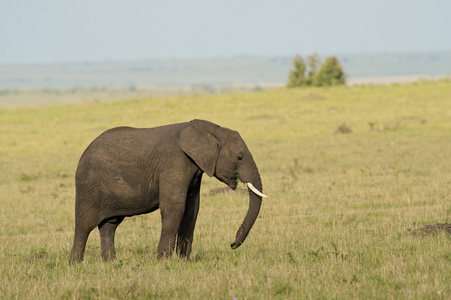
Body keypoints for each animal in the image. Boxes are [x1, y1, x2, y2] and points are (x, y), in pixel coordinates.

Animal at [69, 118, 266, 264]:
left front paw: (185, 262)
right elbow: (175, 207)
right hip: (88, 185)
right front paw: (164, 262)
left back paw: (111, 263)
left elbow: (192, 209)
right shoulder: (175, 162)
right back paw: (76, 265)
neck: (211, 129)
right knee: (84, 225)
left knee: (110, 225)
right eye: (239, 157)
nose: (233, 243)